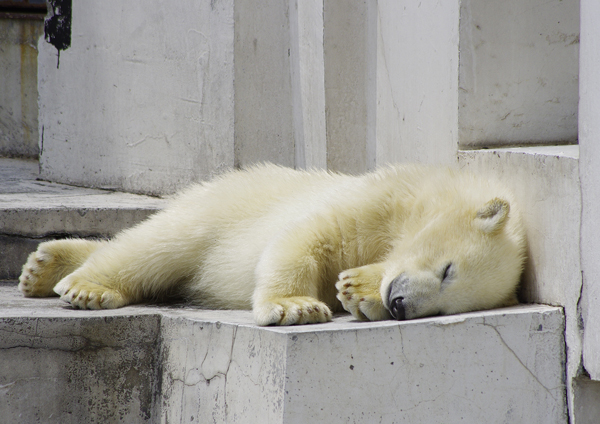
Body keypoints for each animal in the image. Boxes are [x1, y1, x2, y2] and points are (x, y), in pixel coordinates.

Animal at [18, 163, 524, 324]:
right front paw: (294, 307)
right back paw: (81, 285)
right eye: (448, 270)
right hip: (227, 203)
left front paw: (356, 290)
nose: (400, 304)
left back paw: (44, 265)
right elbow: (308, 238)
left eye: (446, 305)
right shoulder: (375, 199)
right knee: (160, 243)